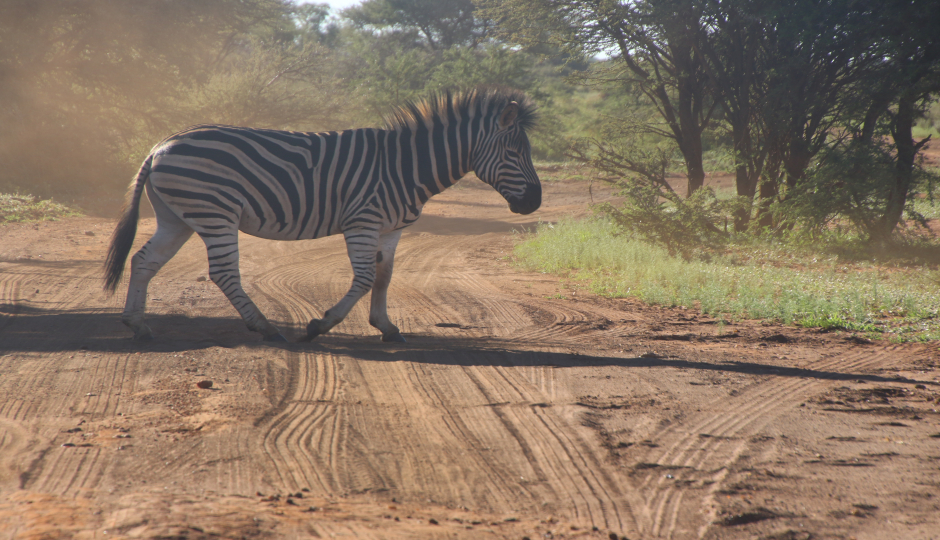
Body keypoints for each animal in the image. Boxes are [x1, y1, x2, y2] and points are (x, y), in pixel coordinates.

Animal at [103, 88, 540, 342]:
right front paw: (321, 325)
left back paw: (136, 323)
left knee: (144, 260)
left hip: (177, 217)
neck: (405, 165)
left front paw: (386, 327)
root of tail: (160, 145)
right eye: (514, 152)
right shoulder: (362, 221)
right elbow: (363, 278)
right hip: (215, 213)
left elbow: (384, 276)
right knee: (223, 272)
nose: (535, 202)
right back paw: (265, 327)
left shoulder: (390, 229)